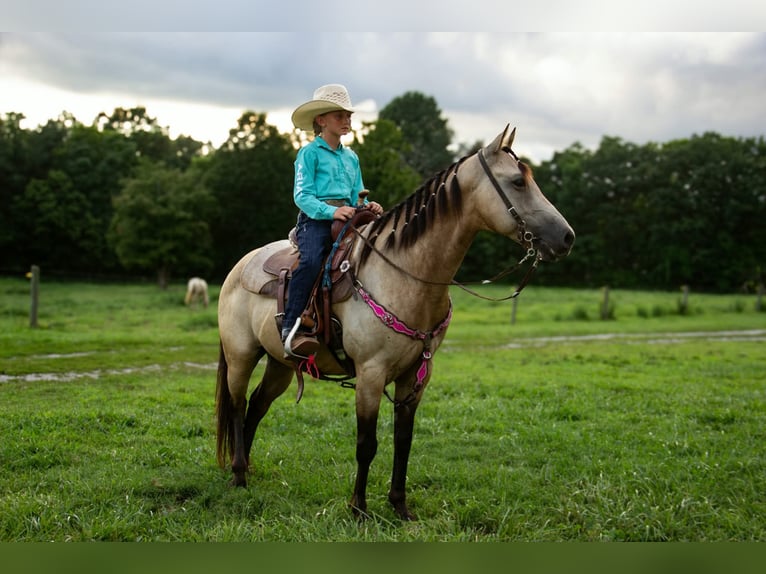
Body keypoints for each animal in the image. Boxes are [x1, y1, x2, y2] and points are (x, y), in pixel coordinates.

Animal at [215, 125, 575, 520]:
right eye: (518, 182)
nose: (567, 237)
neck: (406, 273)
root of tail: (238, 267)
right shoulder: (370, 374)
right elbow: (366, 443)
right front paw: (358, 508)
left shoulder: (416, 375)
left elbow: (404, 441)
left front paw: (400, 506)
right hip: (241, 355)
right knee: (237, 404)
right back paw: (238, 475)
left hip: (280, 363)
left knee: (256, 406)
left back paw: (246, 468)